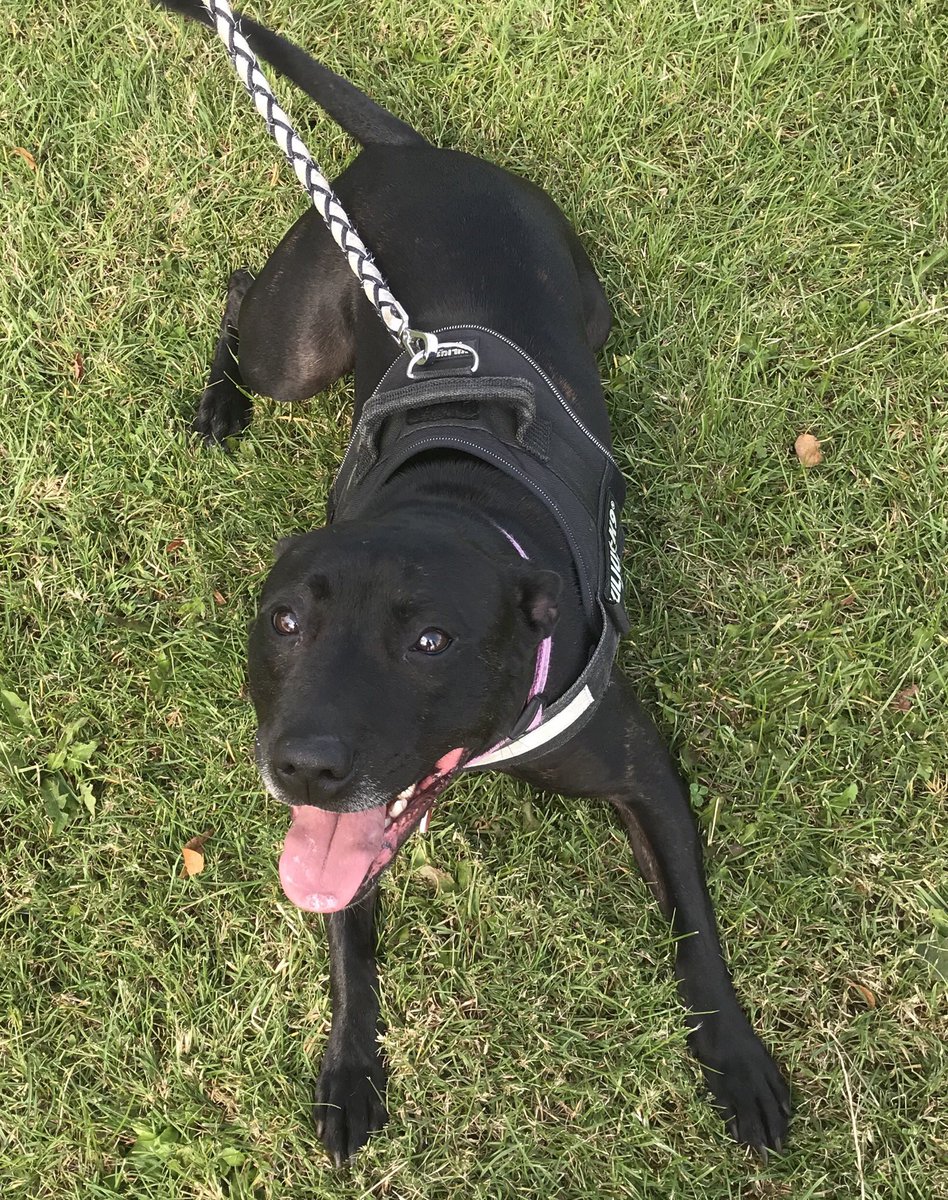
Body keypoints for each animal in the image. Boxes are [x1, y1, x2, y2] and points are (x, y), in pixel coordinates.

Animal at [157, 0, 796, 1161]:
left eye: (429, 642)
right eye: (283, 623)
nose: (301, 765)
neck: (454, 500)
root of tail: (410, 154)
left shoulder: (645, 771)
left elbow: (697, 930)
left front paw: (735, 1061)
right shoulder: (342, 833)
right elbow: (348, 943)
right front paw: (351, 1066)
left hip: (580, 305)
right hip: (296, 346)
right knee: (234, 302)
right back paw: (220, 406)